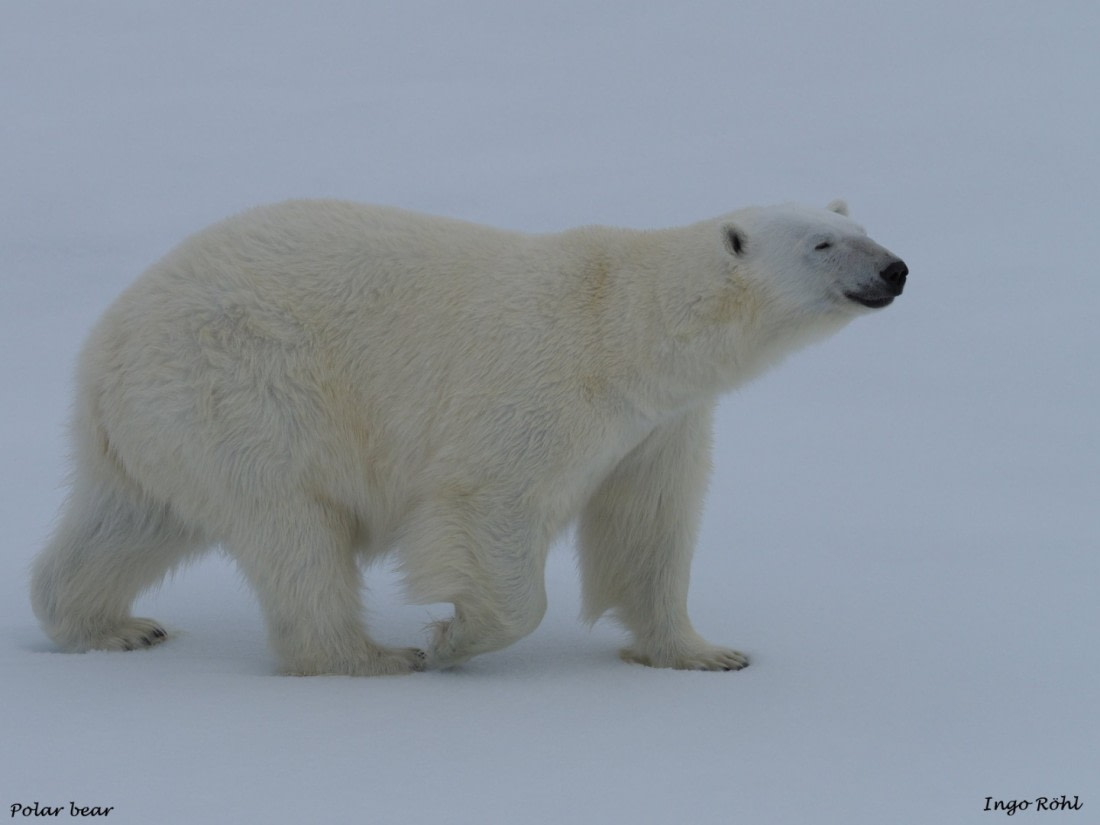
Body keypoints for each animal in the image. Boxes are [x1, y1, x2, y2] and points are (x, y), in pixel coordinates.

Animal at [31, 198, 906, 675]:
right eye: (823, 243)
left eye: (861, 224)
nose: (895, 268)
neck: (629, 326)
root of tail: (106, 343)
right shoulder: (544, 381)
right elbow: (494, 503)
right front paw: (453, 637)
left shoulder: (658, 425)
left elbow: (648, 528)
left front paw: (705, 651)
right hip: (248, 388)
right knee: (294, 529)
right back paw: (367, 656)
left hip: (159, 424)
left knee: (129, 519)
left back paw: (109, 624)